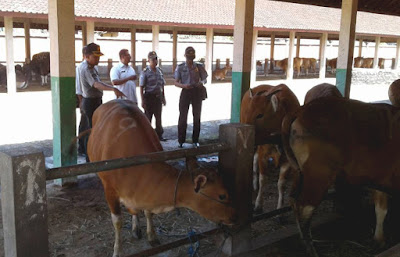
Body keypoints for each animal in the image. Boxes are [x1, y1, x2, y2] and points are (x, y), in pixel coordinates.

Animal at [87, 100, 236, 256]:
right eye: (222, 196)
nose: (235, 216)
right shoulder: (109, 190)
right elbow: (117, 221)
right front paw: (118, 251)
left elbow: (147, 211)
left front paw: (152, 236)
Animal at [282, 97, 400, 255]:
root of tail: (301, 110)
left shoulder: (382, 178)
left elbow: (381, 208)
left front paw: (379, 240)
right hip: (319, 176)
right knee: (304, 207)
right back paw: (311, 250)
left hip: (300, 172)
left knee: (293, 200)